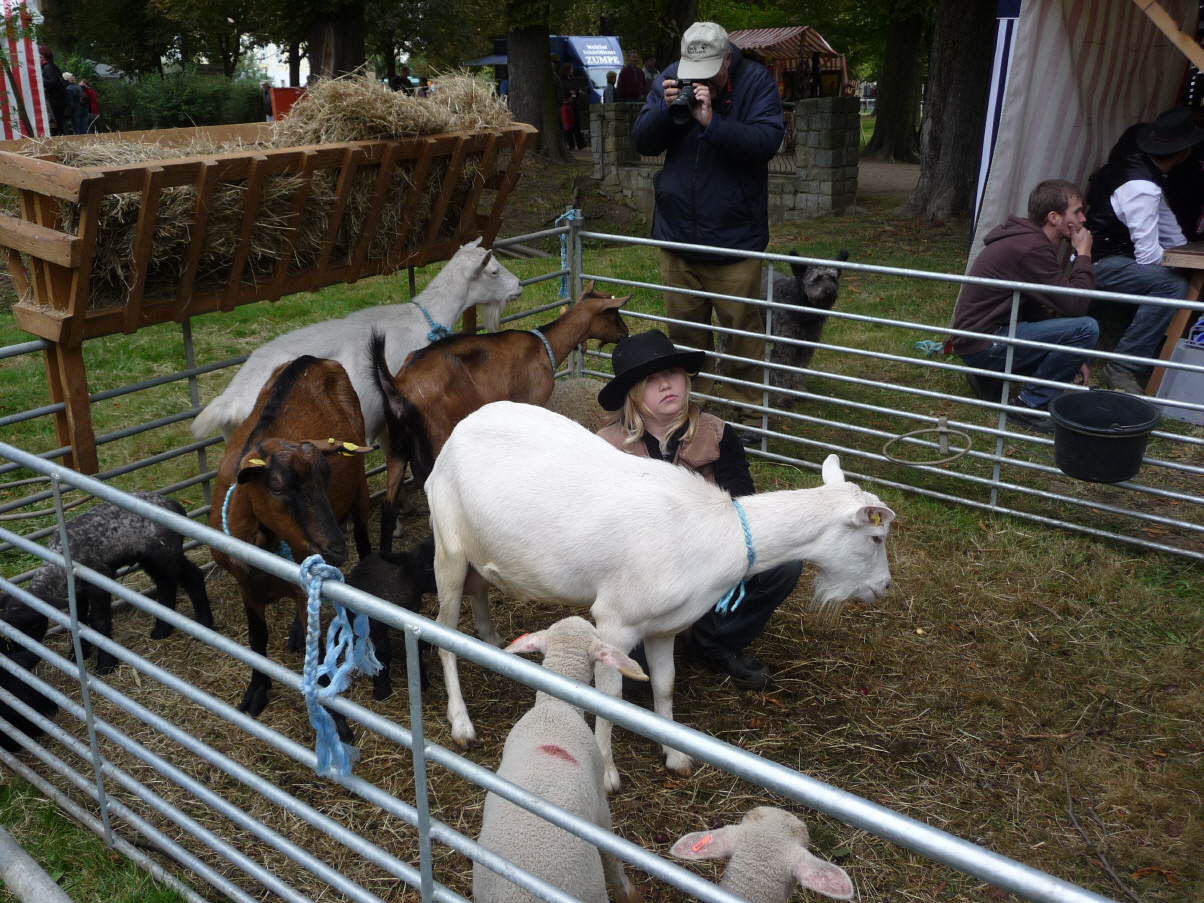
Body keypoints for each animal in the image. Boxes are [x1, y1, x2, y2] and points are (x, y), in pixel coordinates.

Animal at [0, 492, 212, 674]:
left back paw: (204, 624)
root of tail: (175, 504)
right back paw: (161, 630)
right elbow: (80, 621)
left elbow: (98, 620)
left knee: (192, 577)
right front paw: (78, 655)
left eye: (33, 626)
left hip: (166, 552)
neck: (59, 564)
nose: (21, 657)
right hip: (150, 558)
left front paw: (105, 664)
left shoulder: (100, 578)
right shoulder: (78, 591)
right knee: (165, 584)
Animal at [208, 355, 373, 728]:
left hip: (360, 484)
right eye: (276, 488)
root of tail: (311, 360)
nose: (334, 550)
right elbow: (257, 639)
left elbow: (320, 651)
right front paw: (256, 692)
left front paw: (335, 721)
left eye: (327, 479)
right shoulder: (246, 587)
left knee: (364, 533)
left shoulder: (303, 585)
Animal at [345, 535, 437, 700]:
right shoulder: (376, 622)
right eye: (427, 567)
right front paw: (382, 686)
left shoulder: (411, 617)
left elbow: (415, 649)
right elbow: (383, 652)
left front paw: (421, 679)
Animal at [371, 285, 629, 549]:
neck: (544, 346)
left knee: (388, 508)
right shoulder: (531, 401)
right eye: (614, 311)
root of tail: (398, 386)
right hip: (435, 439)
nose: (626, 332)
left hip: (396, 443)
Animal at [426, 401, 895, 791]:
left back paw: (494, 648)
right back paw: (462, 725)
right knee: (442, 635)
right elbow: (610, 698)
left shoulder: (664, 624)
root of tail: (459, 429)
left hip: (479, 553)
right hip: (447, 550)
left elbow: (666, 685)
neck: (718, 533)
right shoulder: (615, 621)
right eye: (876, 537)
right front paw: (607, 773)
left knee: (479, 596)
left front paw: (675, 754)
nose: (885, 587)